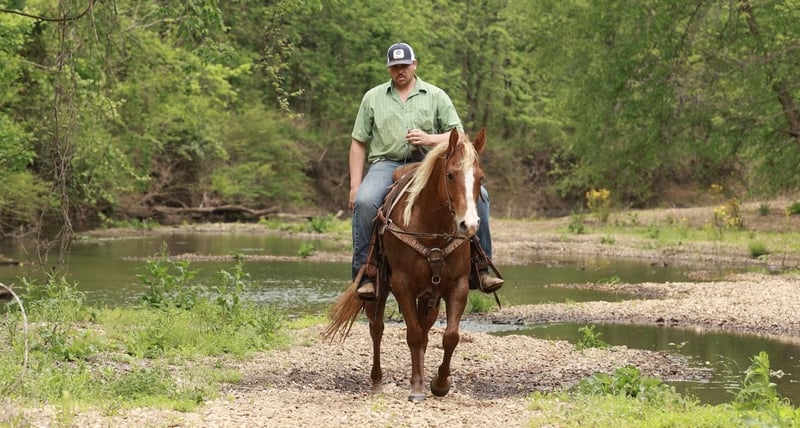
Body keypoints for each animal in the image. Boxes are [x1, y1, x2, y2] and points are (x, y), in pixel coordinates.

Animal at [325, 127, 487, 402]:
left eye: (481, 178)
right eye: (450, 175)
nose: (469, 225)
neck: (431, 228)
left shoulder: (458, 285)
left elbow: (449, 336)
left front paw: (439, 384)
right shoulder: (402, 285)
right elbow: (413, 334)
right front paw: (417, 387)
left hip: (430, 296)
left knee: (425, 328)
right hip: (378, 289)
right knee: (377, 329)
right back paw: (377, 381)